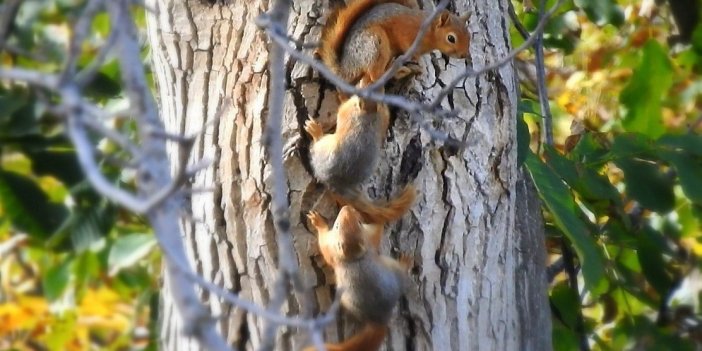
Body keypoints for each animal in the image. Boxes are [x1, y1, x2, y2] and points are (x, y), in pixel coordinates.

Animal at [304, 206, 412, 351]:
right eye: (337, 226)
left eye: (359, 223)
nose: (347, 207)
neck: (352, 256)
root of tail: (379, 319)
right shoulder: (335, 249)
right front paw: (319, 223)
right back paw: (405, 263)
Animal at [322, 0, 470, 87]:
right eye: (451, 38)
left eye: (469, 36)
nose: (464, 55)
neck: (429, 31)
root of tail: (348, 65)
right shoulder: (407, 33)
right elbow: (408, 47)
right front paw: (420, 62)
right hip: (374, 43)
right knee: (375, 76)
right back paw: (394, 68)